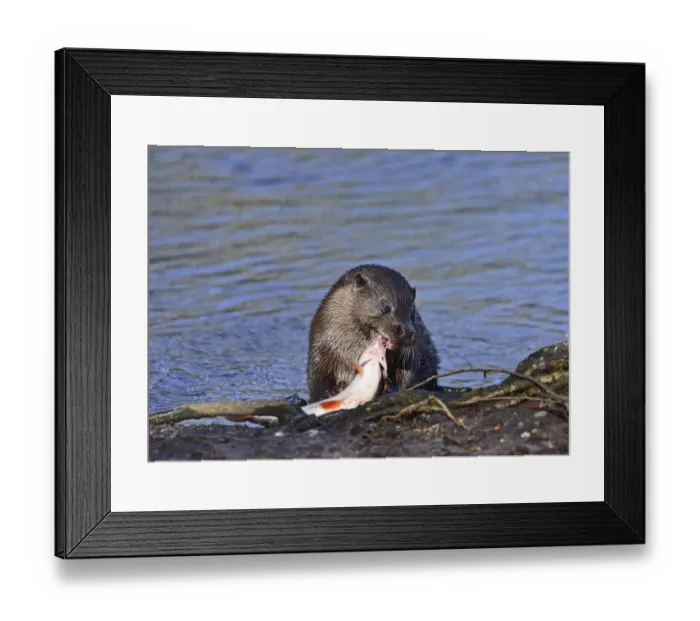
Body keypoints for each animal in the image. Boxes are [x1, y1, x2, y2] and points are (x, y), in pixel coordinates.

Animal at [307, 264, 440, 403]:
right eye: (386, 307)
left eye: (412, 312)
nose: (407, 331)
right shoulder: (321, 350)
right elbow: (317, 381)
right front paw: (332, 391)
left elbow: (411, 373)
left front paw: (393, 388)